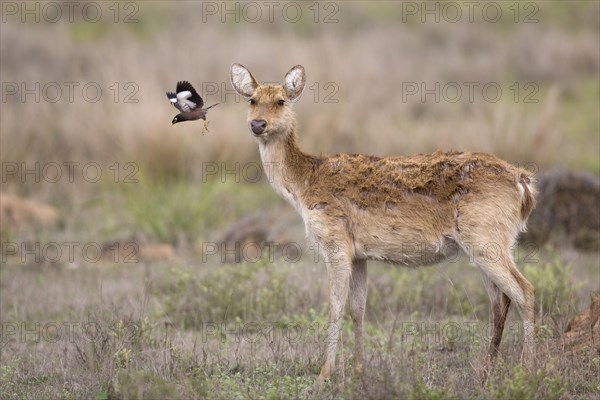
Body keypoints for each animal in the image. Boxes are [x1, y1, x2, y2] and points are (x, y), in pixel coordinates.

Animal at [231, 64, 540, 382]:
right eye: (252, 100)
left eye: (281, 101)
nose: (257, 124)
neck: (303, 186)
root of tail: (524, 184)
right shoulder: (359, 254)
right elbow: (358, 309)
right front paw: (359, 369)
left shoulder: (335, 242)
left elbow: (334, 307)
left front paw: (324, 374)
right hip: (487, 243)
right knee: (499, 300)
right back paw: (487, 369)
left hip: (485, 237)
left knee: (524, 291)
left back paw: (527, 369)